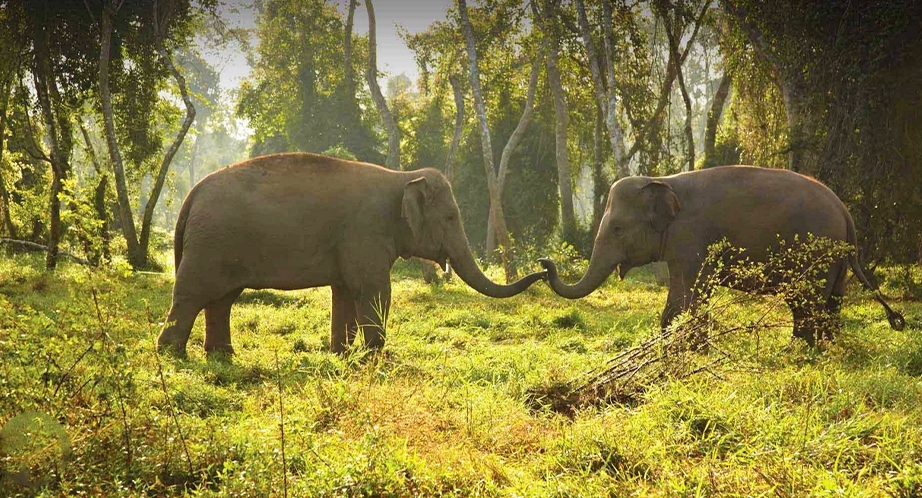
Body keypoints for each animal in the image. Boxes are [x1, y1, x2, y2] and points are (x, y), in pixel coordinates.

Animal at [157, 152, 548, 354]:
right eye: (451, 217)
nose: (546, 266)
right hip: (211, 244)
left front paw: (341, 356)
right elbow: (373, 289)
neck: (401, 177)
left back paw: (222, 356)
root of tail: (191, 196)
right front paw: (374, 356)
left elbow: (345, 291)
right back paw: (172, 354)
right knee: (193, 294)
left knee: (222, 299)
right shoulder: (366, 232)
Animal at [540, 165, 904, 344]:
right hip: (835, 260)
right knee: (830, 303)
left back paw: (799, 352)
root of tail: (845, 212)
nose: (544, 263)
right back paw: (825, 350)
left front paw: (690, 348)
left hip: (816, 254)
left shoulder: (692, 237)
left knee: (806, 303)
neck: (662, 180)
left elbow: (690, 293)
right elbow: (680, 296)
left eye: (617, 228)